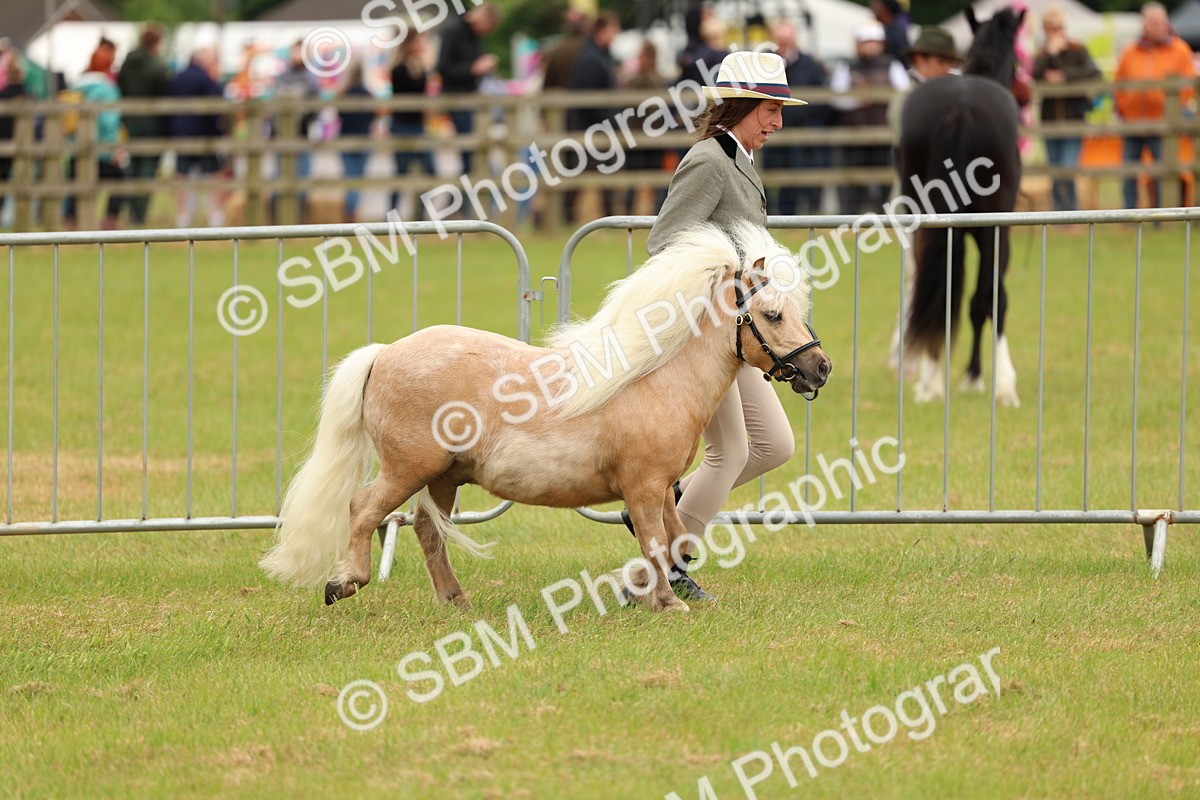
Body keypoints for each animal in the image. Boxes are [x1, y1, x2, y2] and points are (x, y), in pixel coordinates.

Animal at [259, 223, 832, 613]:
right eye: (772, 315)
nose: (820, 368)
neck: (655, 380)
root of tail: (383, 354)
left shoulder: (662, 487)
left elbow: (674, 538)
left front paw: (649, 593)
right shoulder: (644, 486)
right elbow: (654, 540)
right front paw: (668, 603)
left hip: (443, 477)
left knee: (426, 530)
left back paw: (456, 601)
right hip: (409, 469)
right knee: (363, 510)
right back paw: (344, 582)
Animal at [894, 6, 1025, 407]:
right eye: (1018, 63)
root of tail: (960, 109)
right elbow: (986, 300)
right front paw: (979, 378)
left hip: (924, 225)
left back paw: (930, 381)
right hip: (993, 231)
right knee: (990, 298)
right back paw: (1000, 384)